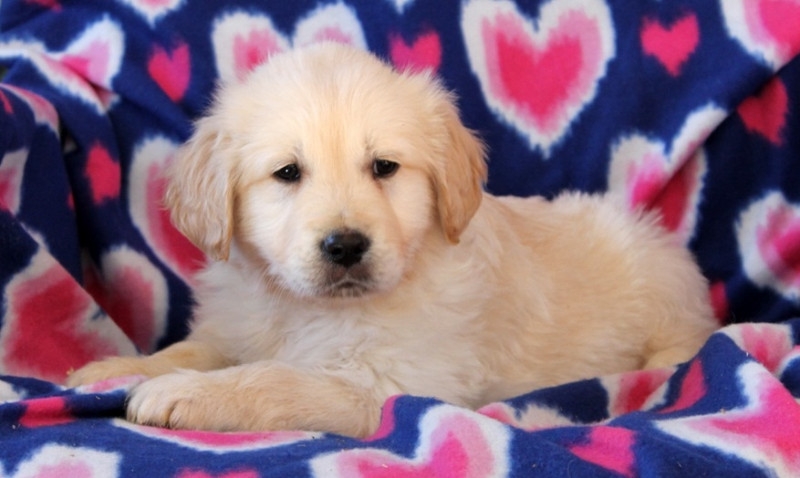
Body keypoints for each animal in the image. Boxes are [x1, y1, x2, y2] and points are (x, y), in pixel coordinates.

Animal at [69, 43, 720, 438]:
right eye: (287, 173)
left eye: (384, 167)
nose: (345, 246)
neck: (304, 309)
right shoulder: (236, 327)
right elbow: (192, 349)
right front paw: (114, 369)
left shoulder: (392, 387)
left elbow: (277, 378)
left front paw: (180, 395)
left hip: (668, 308)